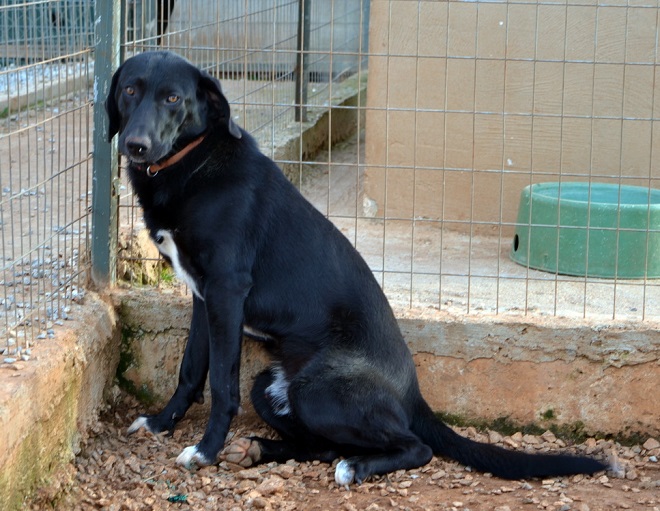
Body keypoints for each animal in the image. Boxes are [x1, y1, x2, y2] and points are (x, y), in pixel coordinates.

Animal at [105, 53, 604, 488]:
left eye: (173, 98)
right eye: (130, 90)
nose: (135, 145)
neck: (195, 162)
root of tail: (412, 394)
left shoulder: (226, 291)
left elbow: (221, 385)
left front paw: (205, 451)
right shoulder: (203, 297)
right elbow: (191, 369)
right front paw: (161, 422)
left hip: (317, 391)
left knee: (415, 447)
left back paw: (355, 467)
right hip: (272, 387)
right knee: (322, 445)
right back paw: (259, 450)